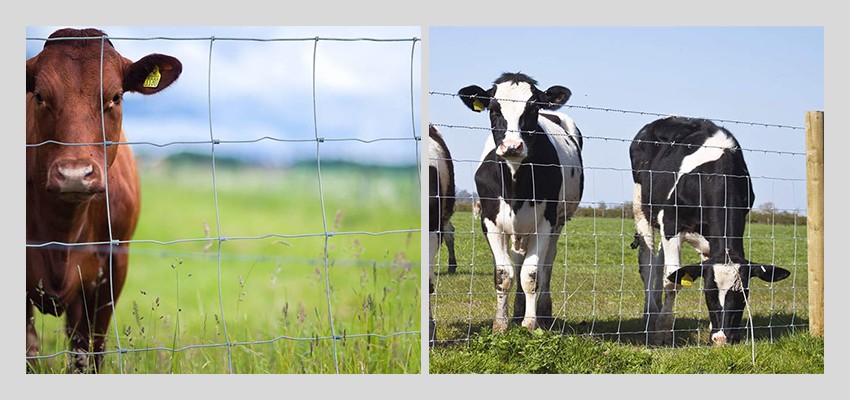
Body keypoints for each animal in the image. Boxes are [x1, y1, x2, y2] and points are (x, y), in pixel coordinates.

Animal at [458, 72, 584, 333]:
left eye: (533, 108)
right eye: (494, 109)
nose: (512, 146)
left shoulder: (545, 222)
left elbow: (531, 274)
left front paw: (530, 323)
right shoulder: (490, 222)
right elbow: (504, 274)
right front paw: (501, 323)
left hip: (558, 223)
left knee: (547, 263)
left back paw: (543, 311)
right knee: (517, 260)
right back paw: (516, 310)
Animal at [630, 116, 791, 346]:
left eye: (742, 295)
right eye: (709, 294)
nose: (722, 338)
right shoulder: (671, 223)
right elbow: (673, 280)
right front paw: (662, 332)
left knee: (660, 263)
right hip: (643, 208)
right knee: (648, 264)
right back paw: (650, 314)